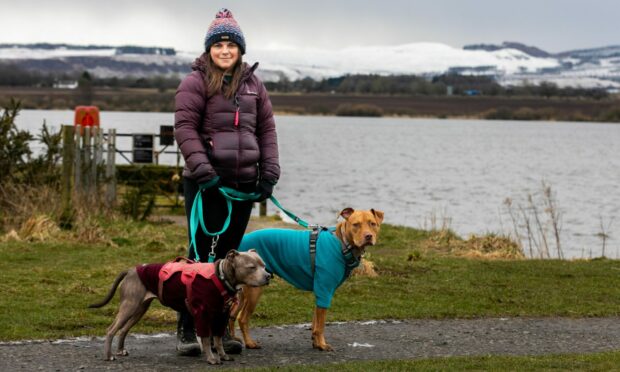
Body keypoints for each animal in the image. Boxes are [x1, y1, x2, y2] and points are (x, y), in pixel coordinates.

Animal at [89, 250, 272, 364]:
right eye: (251, 267)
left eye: (264, 265)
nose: (268, 276)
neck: (221, 277)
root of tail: (131, 270)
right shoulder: (202, 315)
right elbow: (206, 339)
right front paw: (212, 359)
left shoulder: (221, 317)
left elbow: (219, 339)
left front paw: (223, 355)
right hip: (129, 306)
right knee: (111, 330)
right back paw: (109, 356)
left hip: (139, 309)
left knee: (124, 330)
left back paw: (120, 351)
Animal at [234, 208, 382, 350]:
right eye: (356, 224)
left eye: (372, 223)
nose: (368, 236)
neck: (342, 243)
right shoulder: (324, 289)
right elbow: (320, 325)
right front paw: (322, 344)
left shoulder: (321, 291)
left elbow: (316, 321)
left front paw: (316, 342)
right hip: (254, 291)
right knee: (242, 318)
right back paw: (249, 343)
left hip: (239, 293)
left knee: (231, 315)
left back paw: (234, 340)